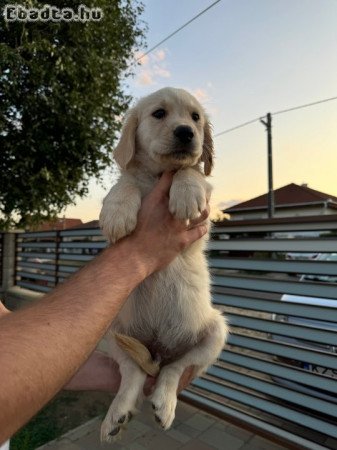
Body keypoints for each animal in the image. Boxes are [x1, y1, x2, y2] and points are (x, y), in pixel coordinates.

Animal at [98, 86, 227, 442]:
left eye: (195, 118)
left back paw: (164, 404)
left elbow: (191, 170)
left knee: (173, 370)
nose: (186, 132)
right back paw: (118, 414)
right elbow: (125, 181)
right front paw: (117, 212)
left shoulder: (202, 217)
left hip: (215, 333)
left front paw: (185, 191)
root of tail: (159, 348)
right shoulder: (133, 179)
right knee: (133, 371)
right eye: (159, 114)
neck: (158, 175)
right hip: (109, 330)